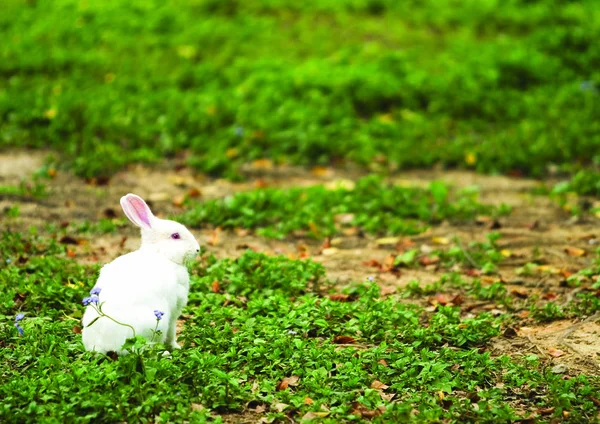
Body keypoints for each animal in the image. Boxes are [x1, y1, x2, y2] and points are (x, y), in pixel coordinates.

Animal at [82, 194, 200, 352]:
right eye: (175, 236)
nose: (197, 249)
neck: (161, 254)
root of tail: (101, 345)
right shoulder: (174, 312)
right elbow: (172, 333)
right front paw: (176, 347)